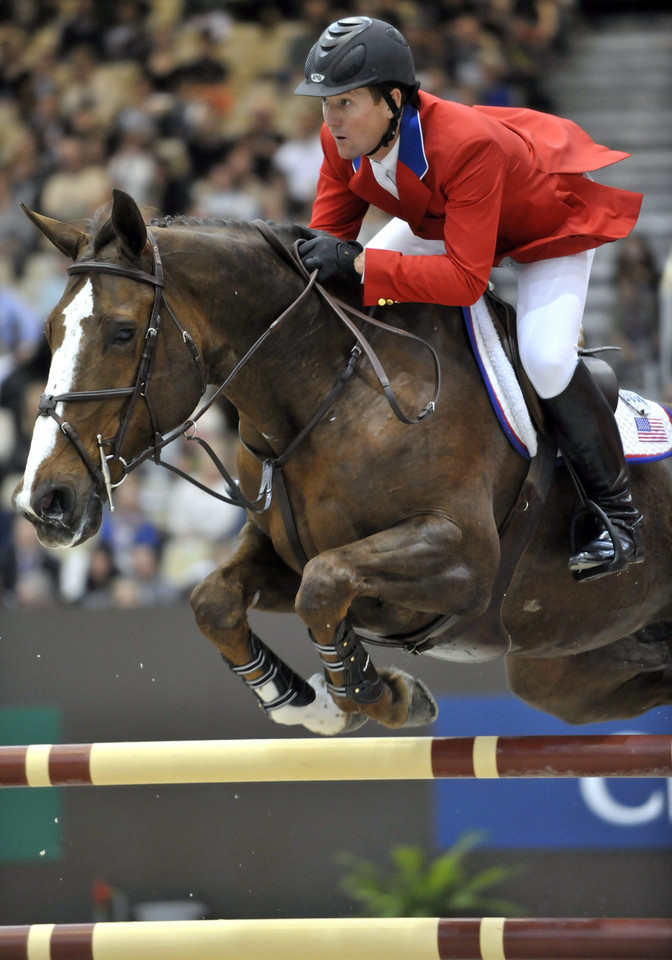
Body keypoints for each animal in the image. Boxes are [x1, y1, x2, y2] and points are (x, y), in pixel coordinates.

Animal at [11, 189, 672, 736]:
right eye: (49, 330)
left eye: (123, 333)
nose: (45, 502)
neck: (329, 396)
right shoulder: (281, 551)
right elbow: (217, 600)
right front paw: (307, 702)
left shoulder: (466, 559)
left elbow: (325, 584)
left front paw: (376, 694)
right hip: (565, 674)